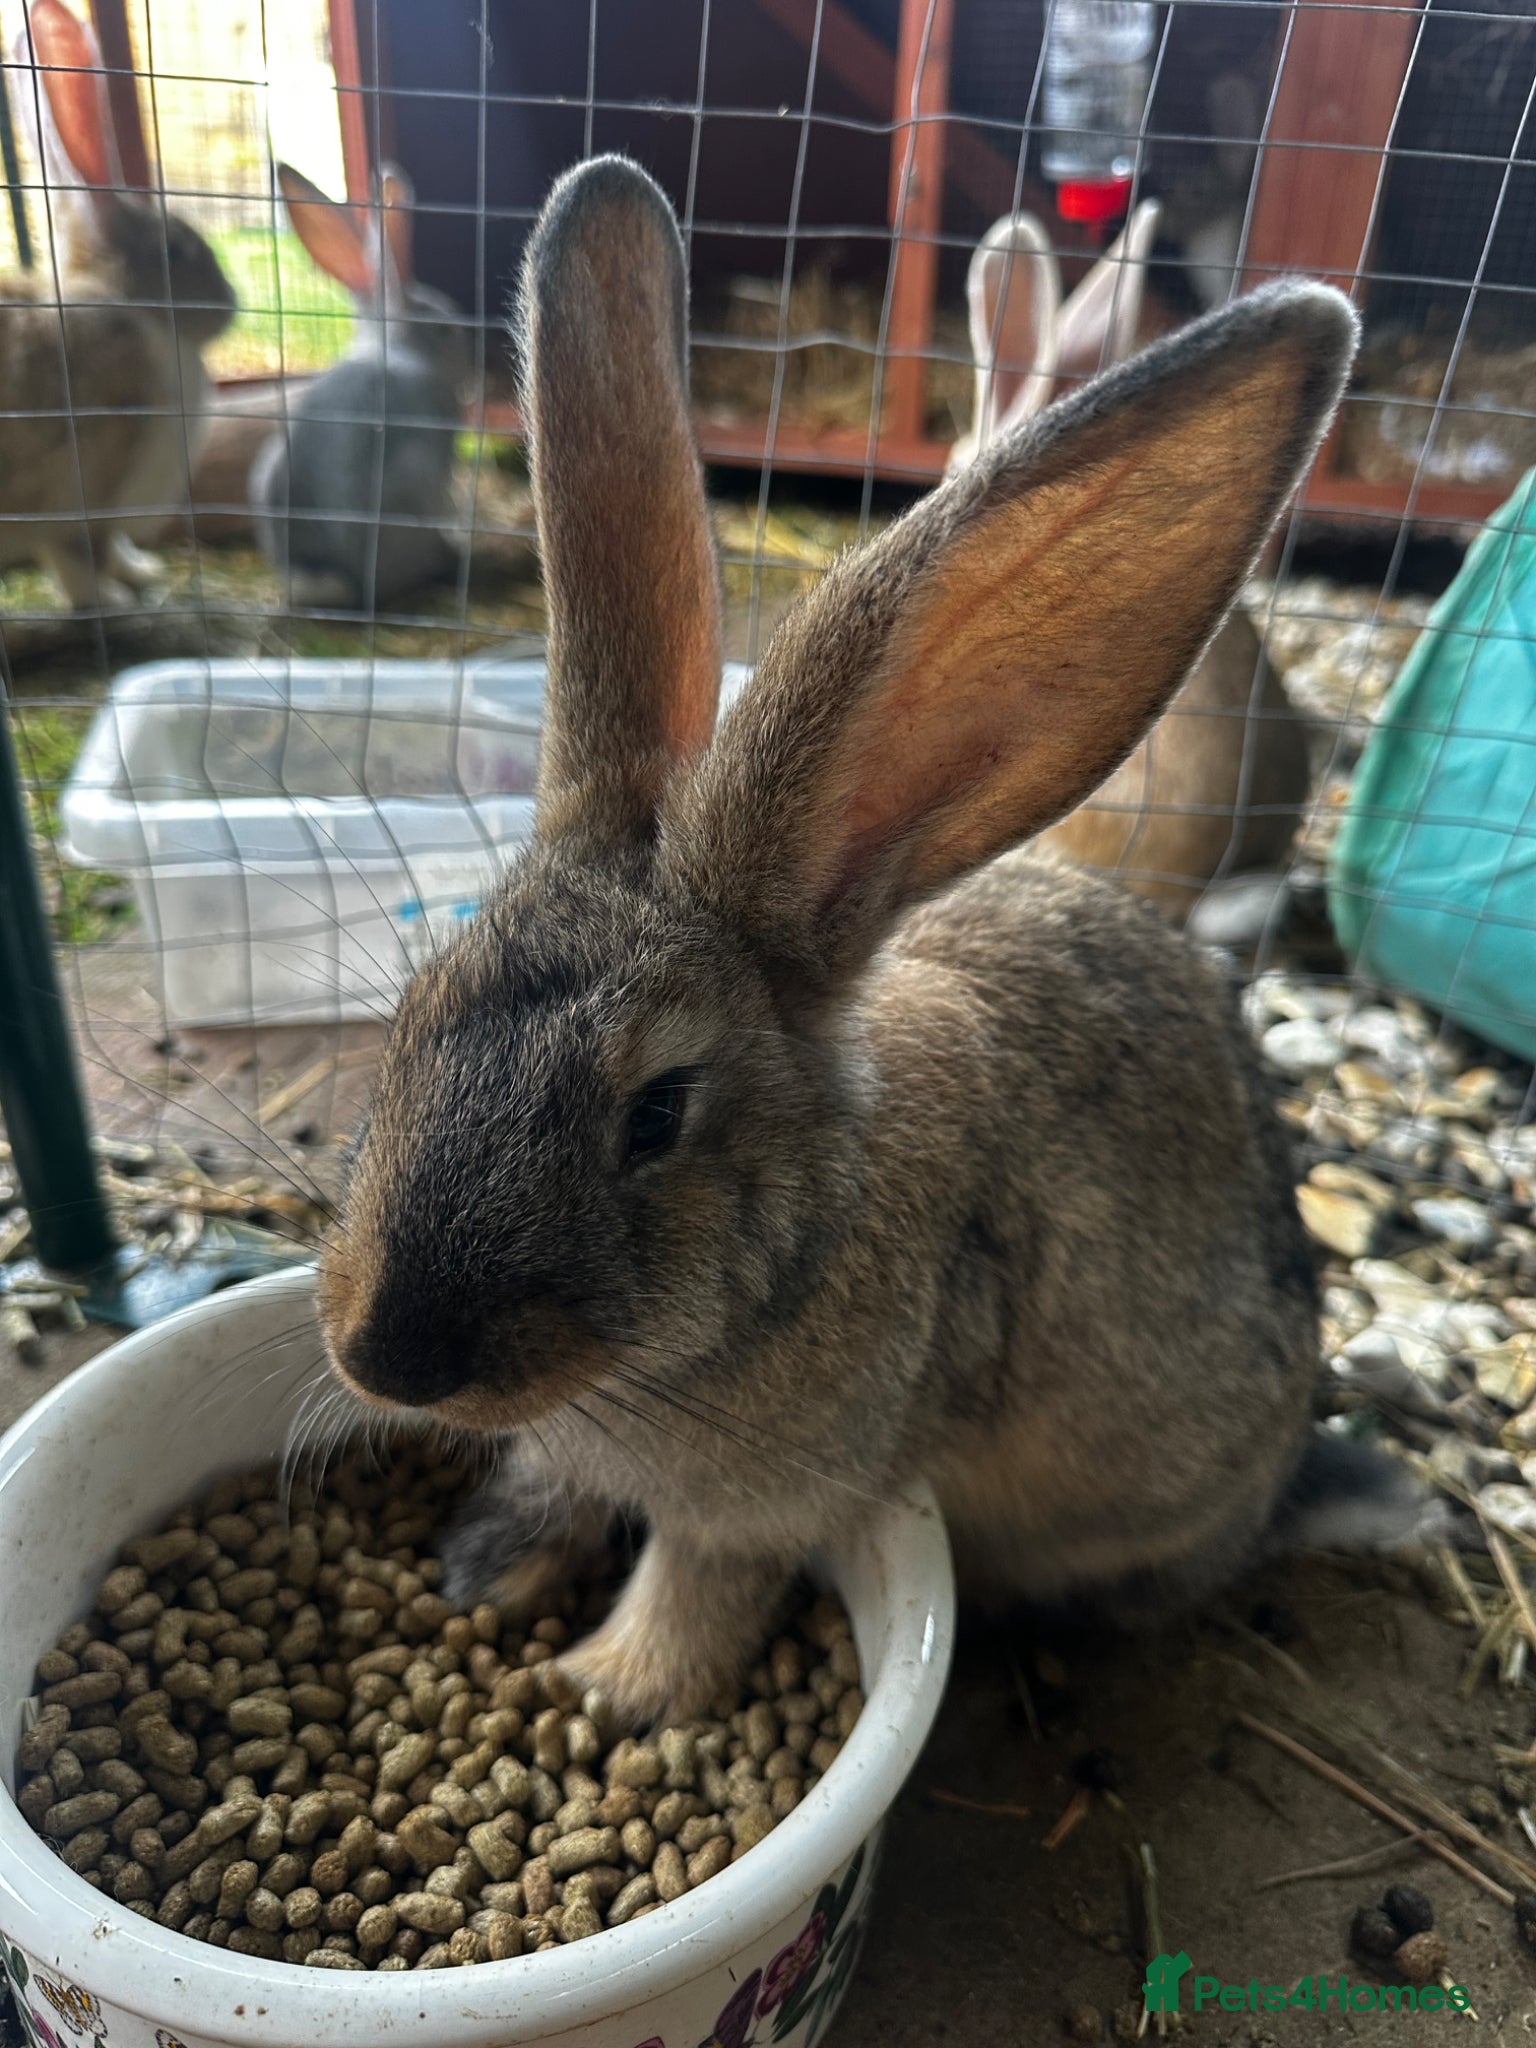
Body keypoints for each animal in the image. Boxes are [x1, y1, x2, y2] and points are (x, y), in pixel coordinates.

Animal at [0, 0, 235, 609]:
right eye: (177, 251)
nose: (231, 305)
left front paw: (143, 575)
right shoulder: (87, 486)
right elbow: (82, 561)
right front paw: (116, 603)